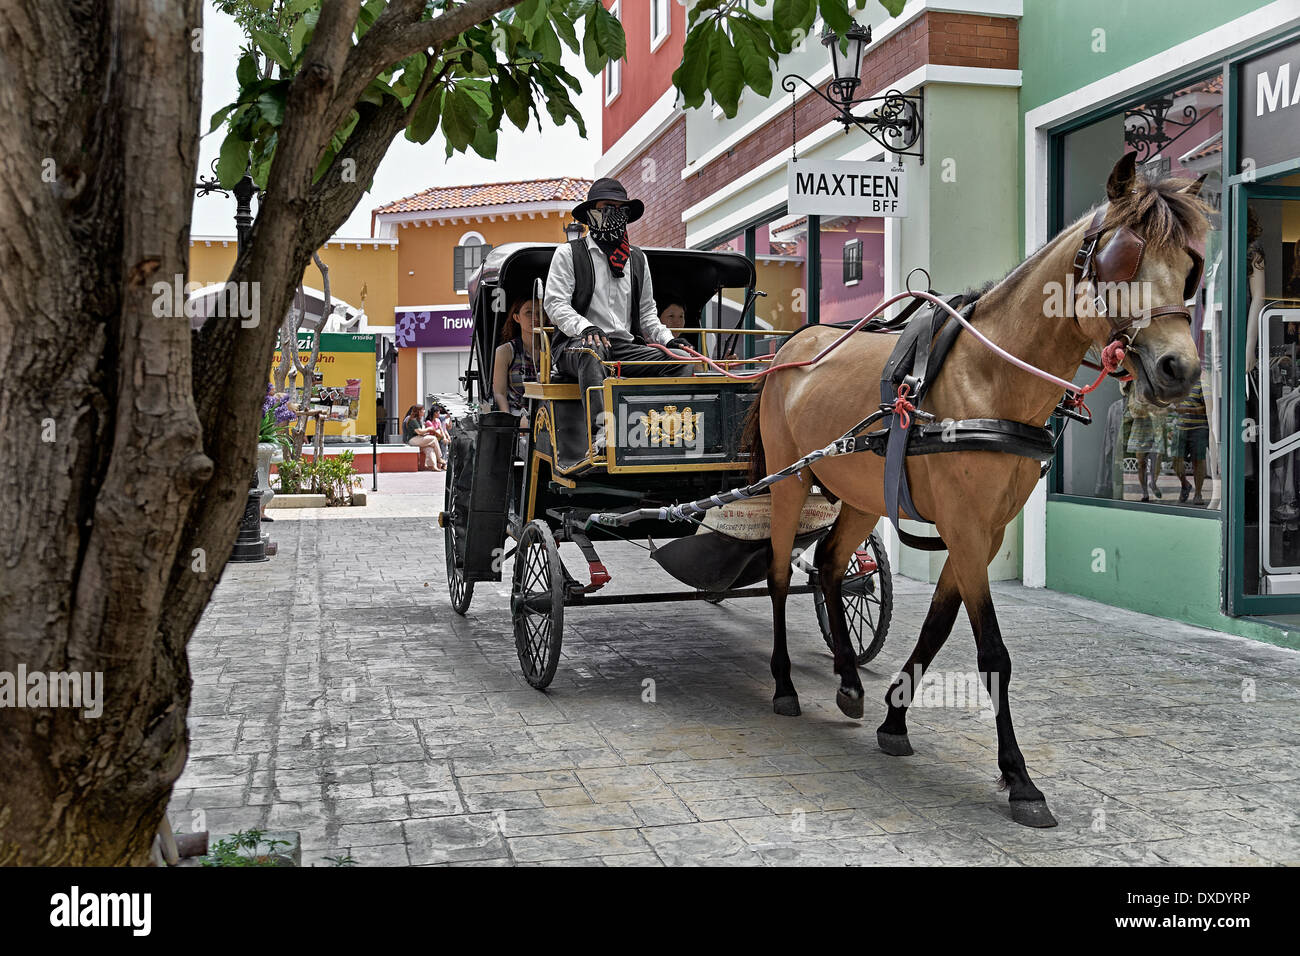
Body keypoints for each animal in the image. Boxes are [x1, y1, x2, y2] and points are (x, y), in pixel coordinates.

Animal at [748, 153, 1211, 827]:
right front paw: (1020, 778)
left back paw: (849, 682)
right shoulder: (964, 528)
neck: (991, 380)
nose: (1181, 369)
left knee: (831, 566)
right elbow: (993, 653)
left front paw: (893, 719)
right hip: (788, 480)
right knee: (782, 573)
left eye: (1190, 267)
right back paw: (784, 684)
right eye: (1123, 259)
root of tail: (792, 346)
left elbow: (936, 629)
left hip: (861, 495)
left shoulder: (983, 534)